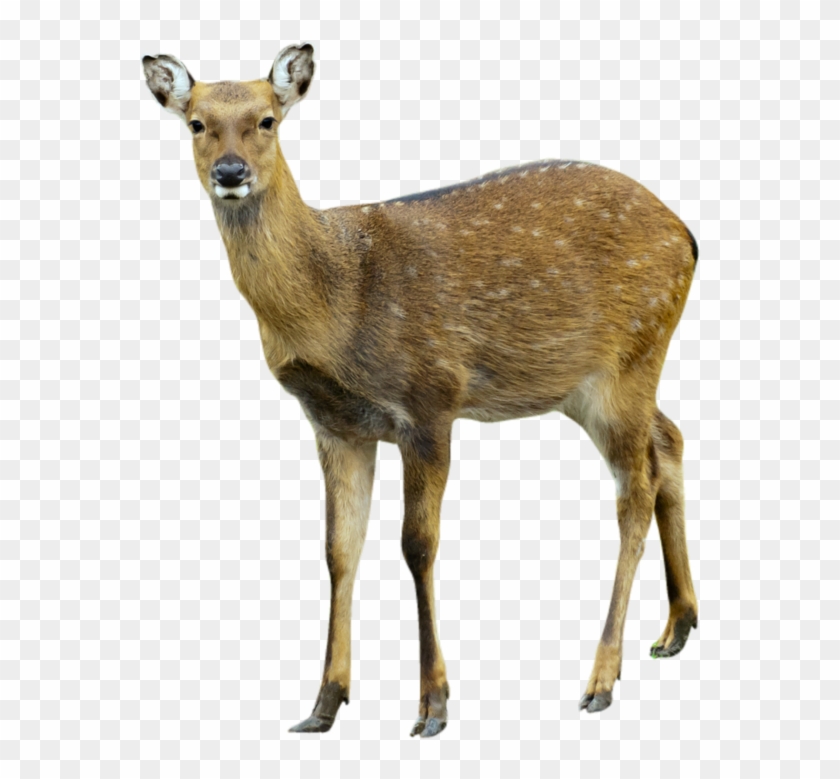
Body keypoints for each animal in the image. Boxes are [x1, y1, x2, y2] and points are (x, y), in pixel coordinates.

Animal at [142, 43, 699, 738]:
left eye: (267, 119)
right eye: (196, 123)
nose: (230, 170)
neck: (336, 301)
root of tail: (688, 237)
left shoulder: (430, 398)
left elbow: (417, 545)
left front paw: (433, 705)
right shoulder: (334, 423)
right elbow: (339, 550)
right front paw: (323, 704)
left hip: (629, 358)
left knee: (634, 492)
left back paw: (601, 678)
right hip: (592, 382)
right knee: (669, 440)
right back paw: (676, 628)